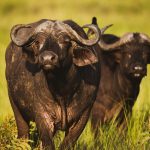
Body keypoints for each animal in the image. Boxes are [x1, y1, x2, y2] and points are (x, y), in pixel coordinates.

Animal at [5, 19, 101, 149]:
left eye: (65, 41)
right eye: (37, 41)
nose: (47, 59)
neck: (63, 92)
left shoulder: (83, 115)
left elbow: (67, 143)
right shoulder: (43, 116)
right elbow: (47, 143)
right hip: (16, 107)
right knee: (23, 135)